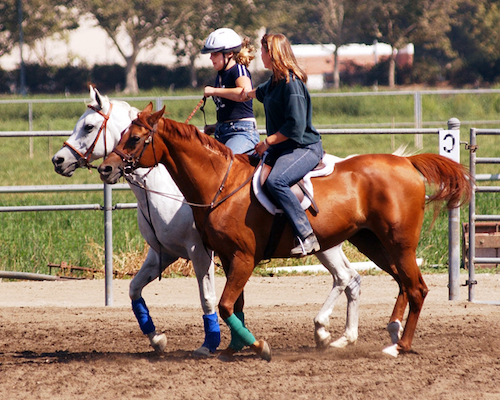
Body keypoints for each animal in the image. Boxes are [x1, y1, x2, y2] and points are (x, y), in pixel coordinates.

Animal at [98, 103, 472, 360]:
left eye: (134, 139)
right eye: (120, 136)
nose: (106, 168)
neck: (221, 184)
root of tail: (406, 162)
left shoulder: (242, 258)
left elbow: (223, 304)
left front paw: (258, 345)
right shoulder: (227, 258)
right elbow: (234, 305)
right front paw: (234, 347)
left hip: (397, 243)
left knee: (415, 287)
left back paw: (398, 345)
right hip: (372, 243)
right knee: (399, 283)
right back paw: (378, 334)